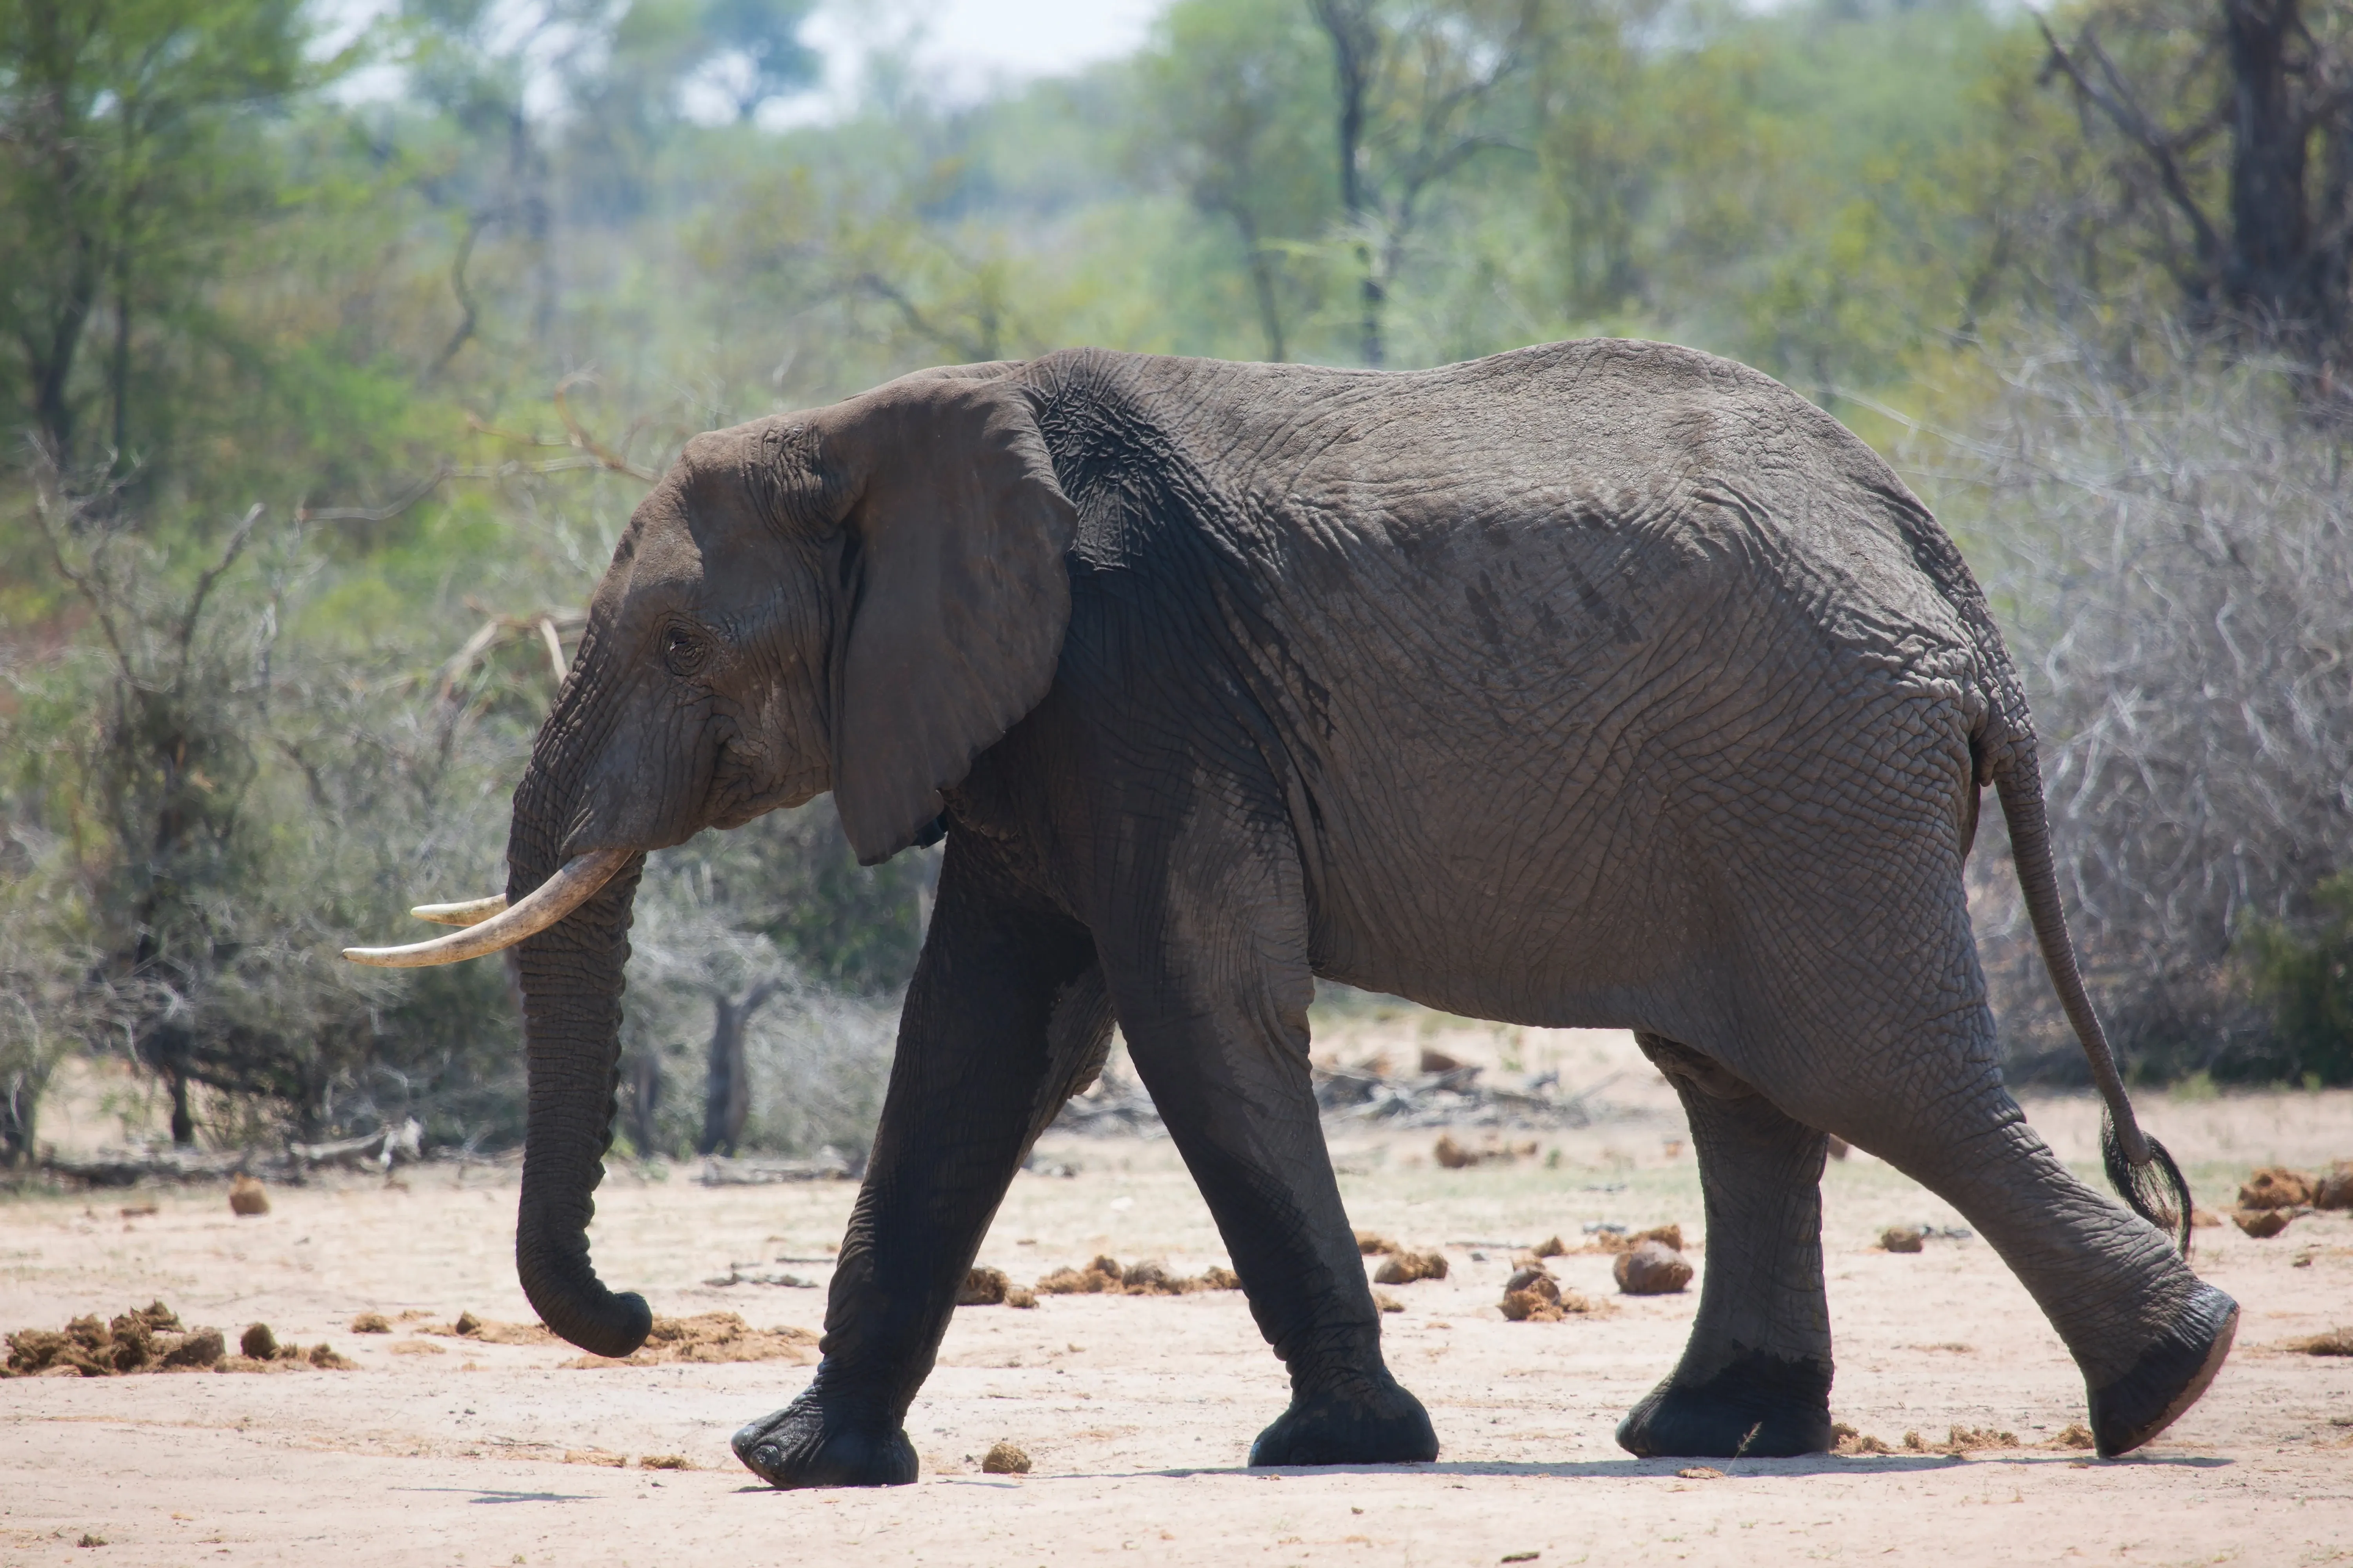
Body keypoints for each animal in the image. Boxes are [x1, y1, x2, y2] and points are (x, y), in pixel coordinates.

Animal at [348, 338, 2236, 1486]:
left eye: (677, 643)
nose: (628, 1316)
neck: (883, 422)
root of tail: (1950, 585)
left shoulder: (1140, 686)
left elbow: (1190, 1006)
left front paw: (1337, 1445)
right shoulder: (1029, 721)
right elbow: (972, 1041)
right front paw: (797, 1457)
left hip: (1814, 775)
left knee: (1881, 1074)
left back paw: (2168, 1381)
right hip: (1772, 789)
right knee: (1742, 1082)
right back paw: (1716, 1423)